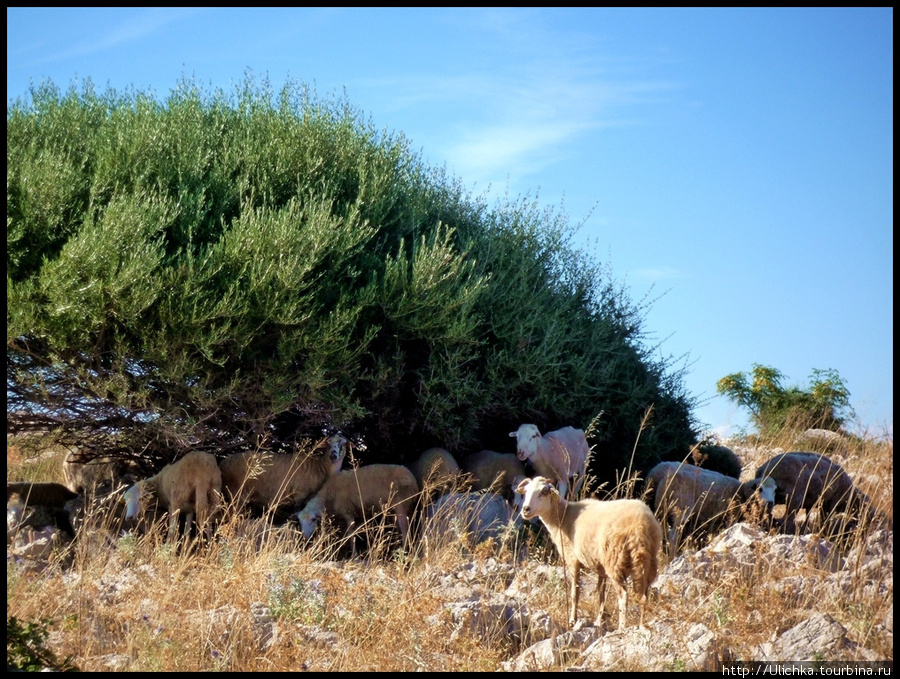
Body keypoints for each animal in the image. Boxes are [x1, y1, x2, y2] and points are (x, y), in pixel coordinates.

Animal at [220, 436, 350, 516]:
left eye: (343, 444)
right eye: (328, 444)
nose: (333, 455)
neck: (321, 467)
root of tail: (223, 463)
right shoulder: (299, 495)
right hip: (236, 493)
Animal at [512, 476, 660, 628]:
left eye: (543, 492)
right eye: (525, 492)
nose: (526, 509)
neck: (562, 516)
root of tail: (639, 527)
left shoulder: (573, 560)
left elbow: (575, 593)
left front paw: (573, 620)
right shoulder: (600, 567)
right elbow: (601, 592)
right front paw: (600, 618)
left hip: (614, 561)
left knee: (623, 596)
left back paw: (622, 626)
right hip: (647, 561)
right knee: (644, 595)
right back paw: (641, 624)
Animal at [644, 460, 776, 548]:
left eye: (775, 490)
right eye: (759, 489)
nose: (770, 503)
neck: (741, 493)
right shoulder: (731, 516)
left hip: (660, 510)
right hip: (680, 511)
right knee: (673, 538)